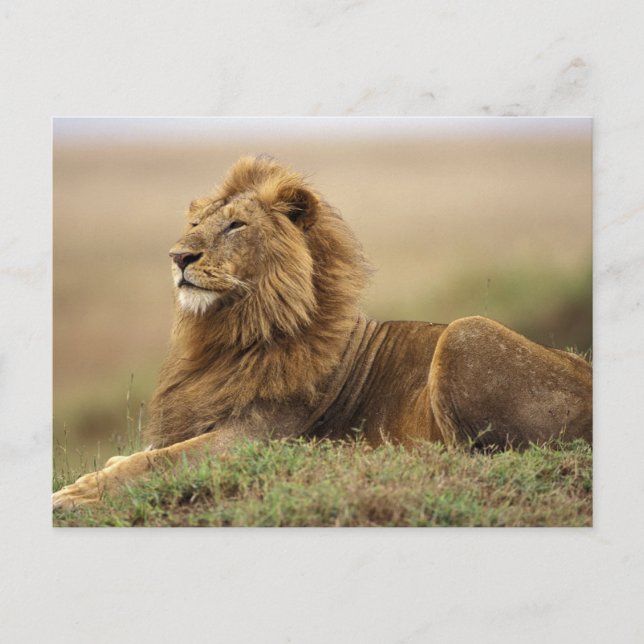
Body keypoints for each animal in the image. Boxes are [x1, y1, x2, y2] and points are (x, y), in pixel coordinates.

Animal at [53, 155, 592, 510]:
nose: (178, 257)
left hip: (466, 332)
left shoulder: (257, 437)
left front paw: (78, 492)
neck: (231, 335)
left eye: (235, 226)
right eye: (195, 223)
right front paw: (93, 474)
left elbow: (155, 463)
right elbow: (137, 454)